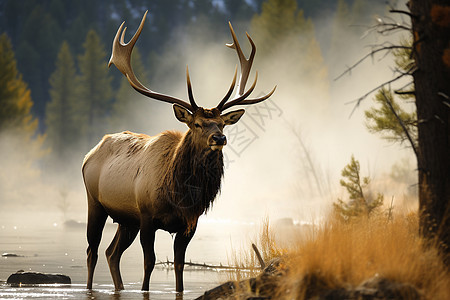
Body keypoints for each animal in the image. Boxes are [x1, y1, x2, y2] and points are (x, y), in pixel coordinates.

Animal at [82, 10, 276, 292]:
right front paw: (144, 289)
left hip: (126, 219)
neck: (179, 193)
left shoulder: (189, 223)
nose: (220, 138)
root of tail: (89, 154)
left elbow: (180, 265)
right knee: (92, 251)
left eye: (221, 122)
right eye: (197, 124)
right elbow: (149, 262)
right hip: (95, 203)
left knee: (111, 253)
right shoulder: (147, 216)